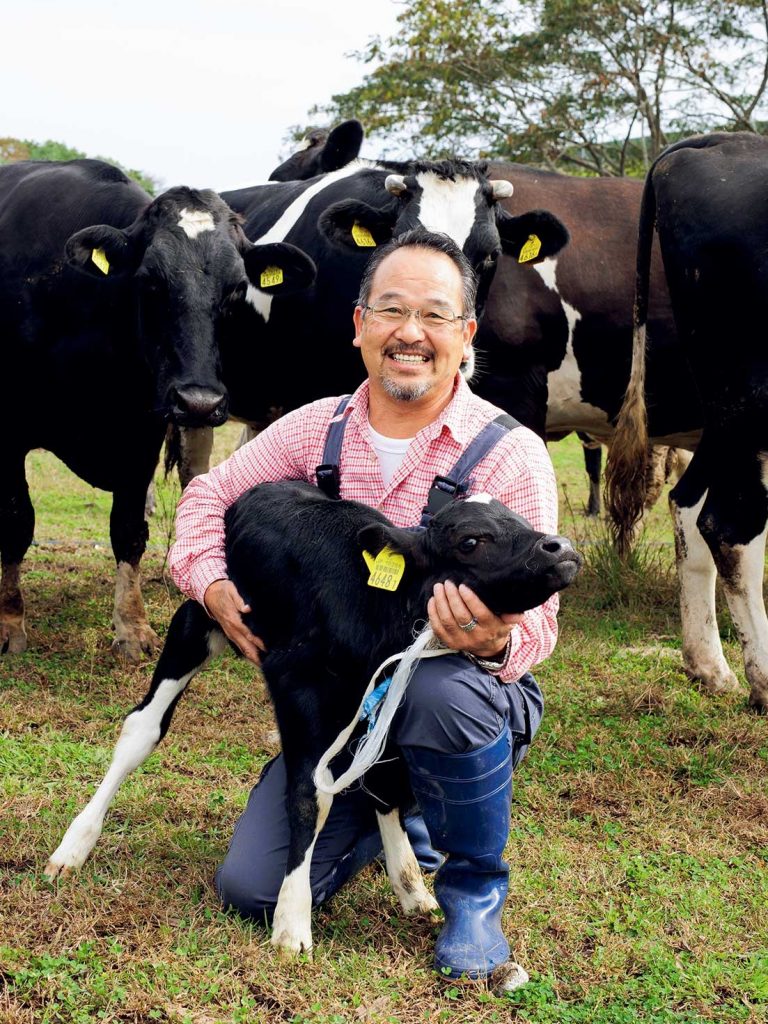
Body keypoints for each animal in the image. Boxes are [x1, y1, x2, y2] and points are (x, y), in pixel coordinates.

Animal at [0, 159, 315, 662]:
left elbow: (128, 530)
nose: (200, 402)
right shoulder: (10, 433)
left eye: (235, 289)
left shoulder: (142, 433)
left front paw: (131, 625)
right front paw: (11, 621)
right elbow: (16, 522)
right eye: (150, 281)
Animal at [606, 131, 768, 713]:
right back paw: (762, 680)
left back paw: (709, 667)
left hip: (725, 411)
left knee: (689, 503)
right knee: (730, 524)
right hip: (746, 394)